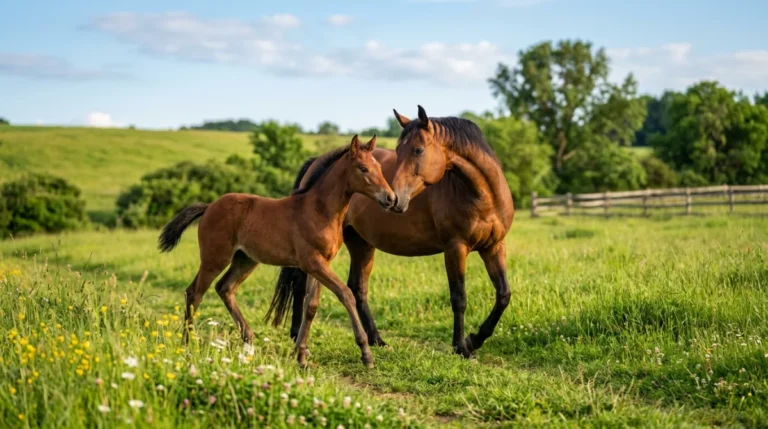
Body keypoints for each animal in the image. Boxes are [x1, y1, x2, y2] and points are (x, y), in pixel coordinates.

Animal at [158, 135, 395, 367]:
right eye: (363, 168)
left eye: (379, 167)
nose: (390, 198)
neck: (319, 210)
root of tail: (209, 207)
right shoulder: (312, 262)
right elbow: (346, 294)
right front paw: (366, 353)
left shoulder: (320, 263)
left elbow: (311, 306)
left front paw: (300, 356)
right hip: (214, 258)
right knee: (195, 293)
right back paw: (188, 346)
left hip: (245, 260)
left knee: (225, 288)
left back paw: (248, 339)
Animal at [268, 106, 514, 358]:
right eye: (398, 150)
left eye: (418, 150)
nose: (395, 198)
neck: (481, 196)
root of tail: (317, 161)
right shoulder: (455, 248)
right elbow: (459, 298)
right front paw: (461, 346)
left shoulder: (494, 247)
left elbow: (503, 295)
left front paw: (475, 340)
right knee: (300, 283)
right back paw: (297, 335)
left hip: (360, 243)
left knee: (357, 288)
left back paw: (376, 339)